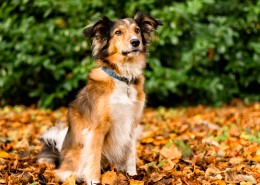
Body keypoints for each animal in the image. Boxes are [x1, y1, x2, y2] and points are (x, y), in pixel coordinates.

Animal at [37, 11, 161, 184]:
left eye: (137, 30)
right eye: (118, 32)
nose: (136, 42)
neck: (123, 78)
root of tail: (60, 156)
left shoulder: (131, 124)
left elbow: (131, 155)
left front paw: (133, 176)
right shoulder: (97, 128)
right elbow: (93, 158)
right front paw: (94, 180)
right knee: (66, 172)